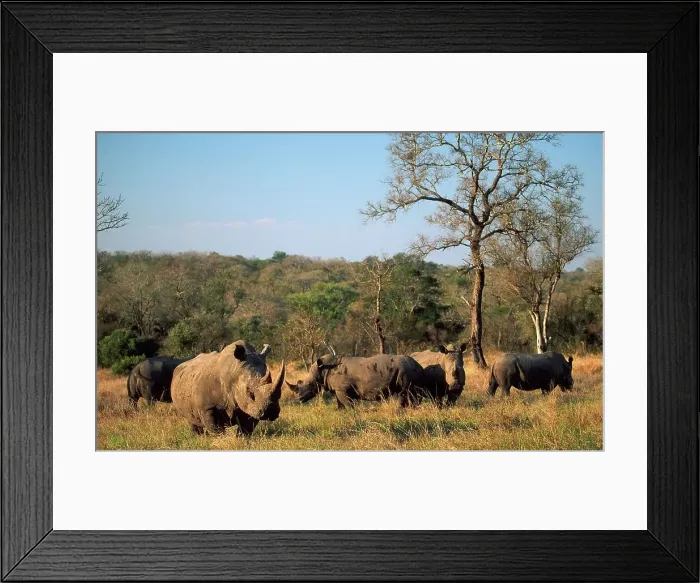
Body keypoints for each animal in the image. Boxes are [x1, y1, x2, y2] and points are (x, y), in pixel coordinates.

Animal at [286, 353, 427, 409]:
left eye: (310, 384)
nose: (299, 399)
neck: (323, 370)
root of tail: (419, 365)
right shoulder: (339, 389)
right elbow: (340, 403)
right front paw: (341, 413)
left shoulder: (342, 389)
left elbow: (348, 403)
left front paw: (352, 412)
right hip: (409, 370)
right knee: (412, 392)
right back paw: (413, 408)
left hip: (405, 370)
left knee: (404, 391)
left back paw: (401, 409)